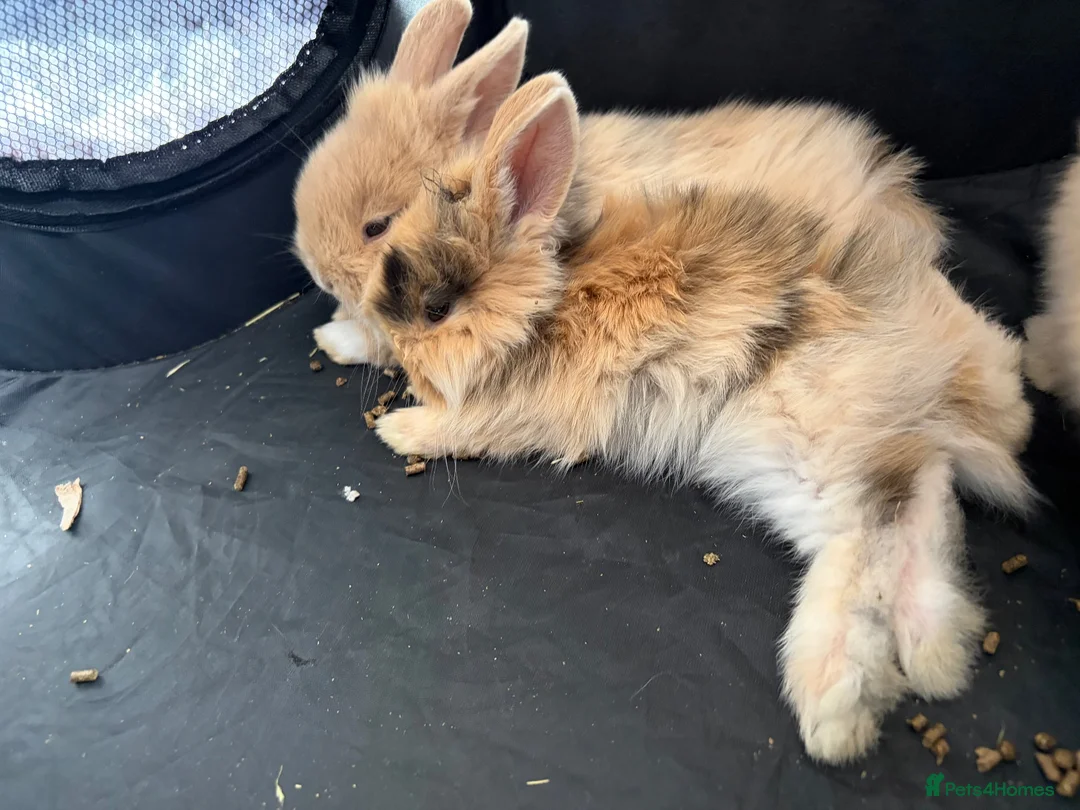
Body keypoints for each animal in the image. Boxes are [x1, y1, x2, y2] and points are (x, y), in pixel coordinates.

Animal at [353, 73, 1032, 764]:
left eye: (437, 309)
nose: (396, 345)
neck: (549, 305)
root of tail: (948, 375)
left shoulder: (526, 412)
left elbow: (462, 426)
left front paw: (398, 429)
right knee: (920, 493)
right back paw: (936, 653)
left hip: (807, 434)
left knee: (871, 533)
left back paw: (834, 704)